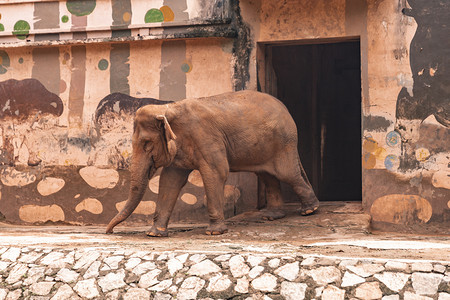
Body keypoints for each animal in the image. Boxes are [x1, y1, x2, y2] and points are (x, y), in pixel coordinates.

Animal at [105, 90, 320, 236]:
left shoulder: (206, 137)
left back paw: (309, 210)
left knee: (286, 173)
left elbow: (217, 172)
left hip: (283, 142)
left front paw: (214, 232)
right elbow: (170, 181)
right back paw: (272, 216)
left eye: (147, 144)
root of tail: (284, 107)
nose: (109, 231)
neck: (169, 109)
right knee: (267, 175)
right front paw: (154, 233)